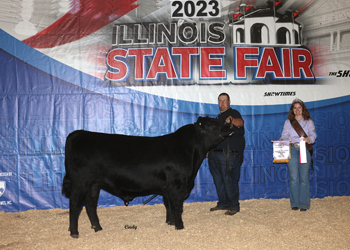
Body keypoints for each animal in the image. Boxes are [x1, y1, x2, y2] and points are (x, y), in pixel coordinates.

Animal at [61, 116, 234, 237]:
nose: (231, 125)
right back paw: (74, 232)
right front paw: (180, 227)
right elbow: (177, 207)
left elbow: (169, 206)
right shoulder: (177, 185)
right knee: (75, 204)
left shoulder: (168, 189)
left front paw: (170, 223)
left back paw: (97, 228)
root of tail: (78, 133)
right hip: (81, 182)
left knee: (90, 204)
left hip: (94, 184)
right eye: (212, 125)